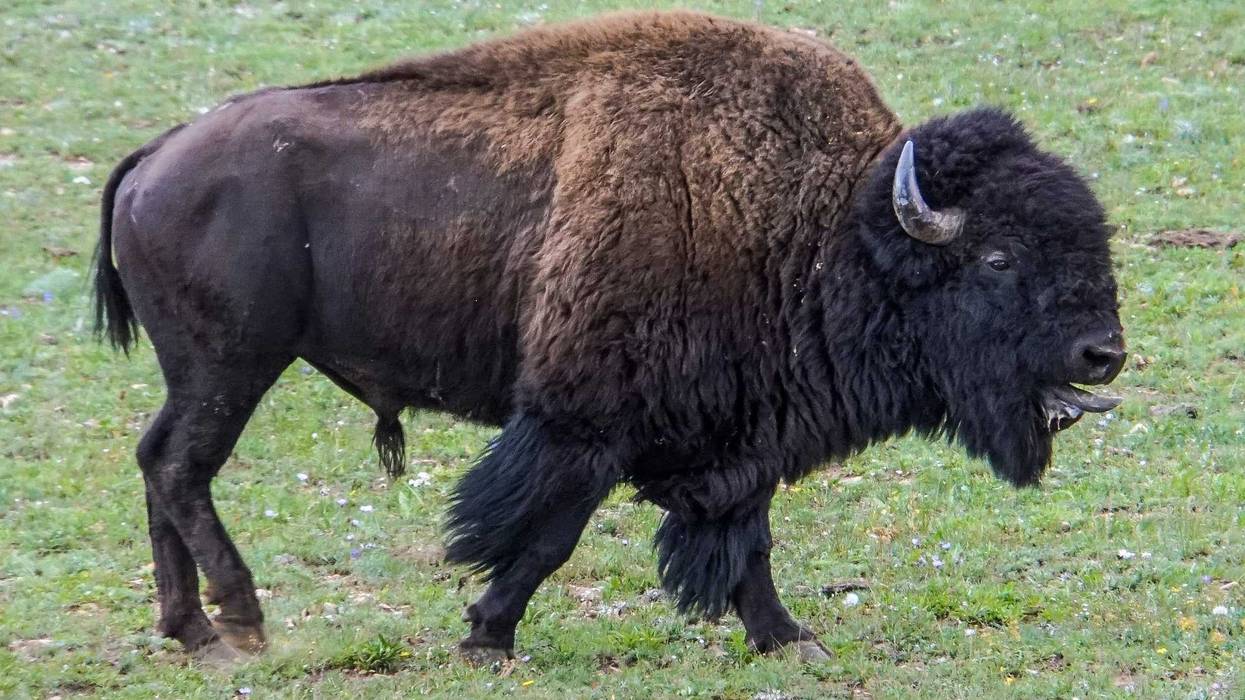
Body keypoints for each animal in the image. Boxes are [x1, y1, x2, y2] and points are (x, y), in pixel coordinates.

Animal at [95, 11, 1124, 663]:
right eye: (997, 258)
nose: (1102, 353)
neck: (826, 225)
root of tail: (156, 155)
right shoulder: (584, 425)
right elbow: (549, 536)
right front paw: (486, 635)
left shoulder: (735, 438)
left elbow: (745, 541)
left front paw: (789, 638)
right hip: (232, 365)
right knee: (182, 468)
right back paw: (242, 621)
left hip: (202, 373)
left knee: (156, 462)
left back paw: (189, 632)